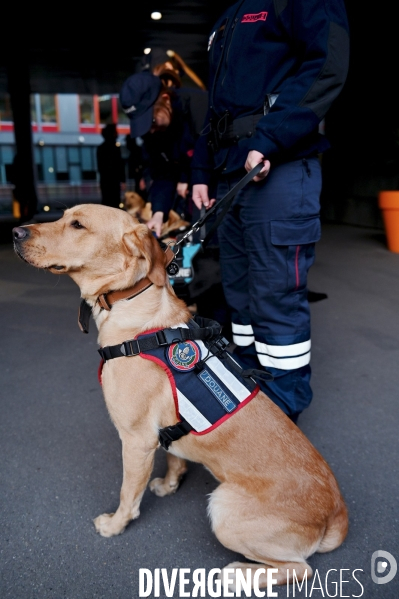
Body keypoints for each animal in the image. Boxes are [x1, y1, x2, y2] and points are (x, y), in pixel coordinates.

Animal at [14, 205, 348, 592]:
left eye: (78, 225)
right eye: (62, 216)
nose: (15, 233)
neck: (132, 307)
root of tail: (336, 512)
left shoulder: (136, 441)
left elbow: (128, 495)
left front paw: (115, 525)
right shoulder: (163, 433)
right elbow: (174, 457)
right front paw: (171, 484)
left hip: (224, 508)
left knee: (300, 569)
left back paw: (237, 574)